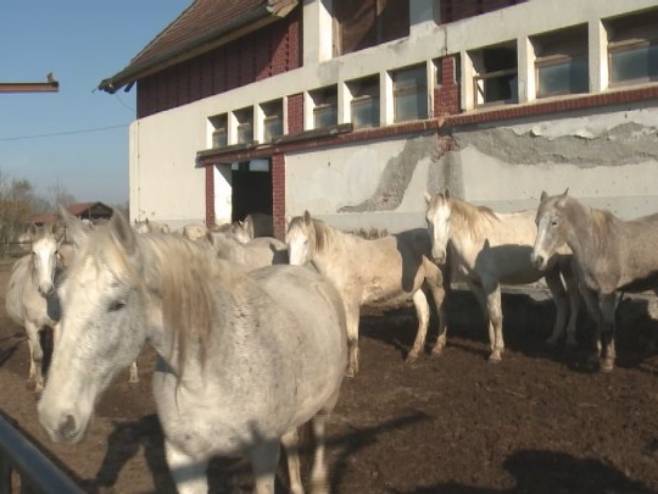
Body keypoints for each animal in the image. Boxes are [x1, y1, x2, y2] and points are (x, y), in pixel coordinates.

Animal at [36, 211, 346, 494]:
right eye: (61, 298)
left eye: (117, 304)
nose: (54, 417)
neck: (211, 374)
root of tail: (303, 271)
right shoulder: (184, 459)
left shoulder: (264, 454)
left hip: (327, 402)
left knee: (319, 436)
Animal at [284, 210, 444, 376]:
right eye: (287, 242)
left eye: (305, 241)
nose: (292, 270)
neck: (337, 259)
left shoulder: (351, 304)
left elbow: (352, 337)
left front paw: (351, 370)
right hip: (417, 288)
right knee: (424, 315)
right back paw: (413, 353)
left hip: (436, 281)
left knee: (441, 312)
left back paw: (437, 347)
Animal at [426, 193, 576, 362]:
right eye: (427, 220)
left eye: (447, 219)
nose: (438, 256)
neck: (475, 239)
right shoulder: (474, 283)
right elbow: (487, 314)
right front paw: (494, 345)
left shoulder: (491, 281)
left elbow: (496, 315)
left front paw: (496, 353)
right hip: (550, 272)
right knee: (562, 301)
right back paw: (553, 339)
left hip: (567, 269)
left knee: (574, 300)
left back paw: (570, 339)